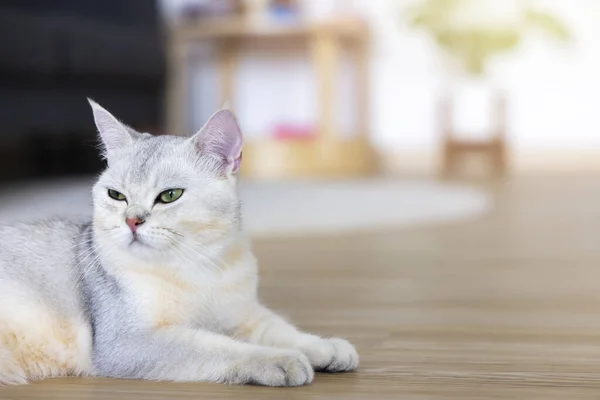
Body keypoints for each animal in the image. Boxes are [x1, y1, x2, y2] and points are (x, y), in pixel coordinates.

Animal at [0, 98, 356, 386]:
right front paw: (278, 360)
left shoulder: (244, 315)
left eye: (170, 195)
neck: (199, 266)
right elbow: (218, 346)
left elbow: (279, 329)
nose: (132, 221)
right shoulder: (128, 342)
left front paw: (324, 346)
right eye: (116, 195)